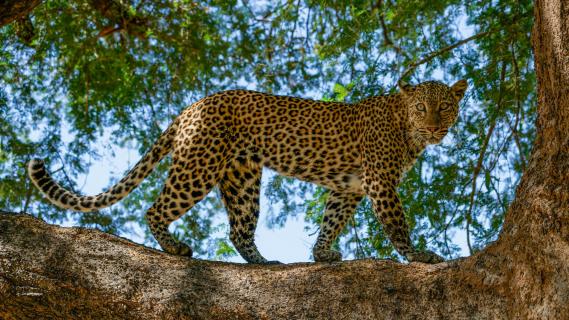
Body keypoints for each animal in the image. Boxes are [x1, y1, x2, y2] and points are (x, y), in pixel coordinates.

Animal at [27, 80, 466, 264]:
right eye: (421, 107)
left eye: (444, 107)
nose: (434, 127)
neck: (406, 127)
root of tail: (191, 107)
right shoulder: (379, 181)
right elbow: (396, 224)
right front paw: (419, 256)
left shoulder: (350, 186)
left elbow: (331, 219)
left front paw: (321, 254)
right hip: (199, 165)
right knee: (153, 209)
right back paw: (175, 248)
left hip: (241, 178)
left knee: (238, 230)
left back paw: (262, 262)